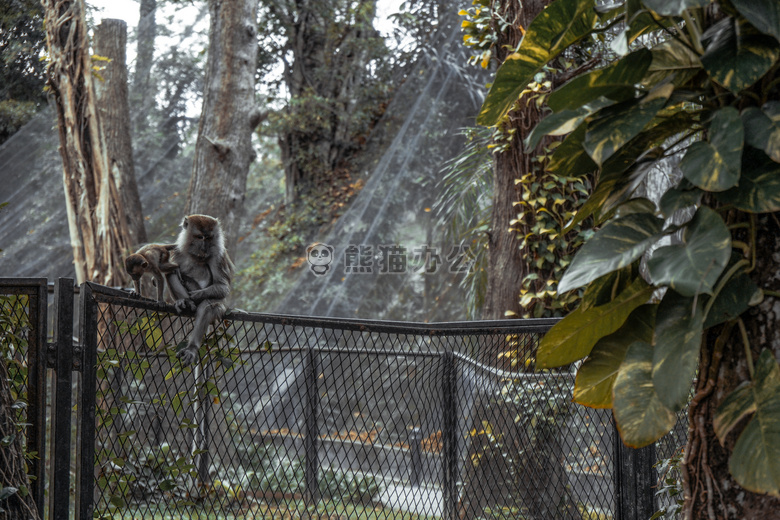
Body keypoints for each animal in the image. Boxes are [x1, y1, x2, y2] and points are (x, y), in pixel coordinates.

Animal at [165, 214, 233, 366]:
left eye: (208, 238)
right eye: (199, 237)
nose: (204, 248)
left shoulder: (218, 255)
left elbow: (222, 286)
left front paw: (197, 295)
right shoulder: (176, 251)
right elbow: (170, 270)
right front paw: (185, 300)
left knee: (209, 305)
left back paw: (192, 348)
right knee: (172, 272)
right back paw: (186, 302)